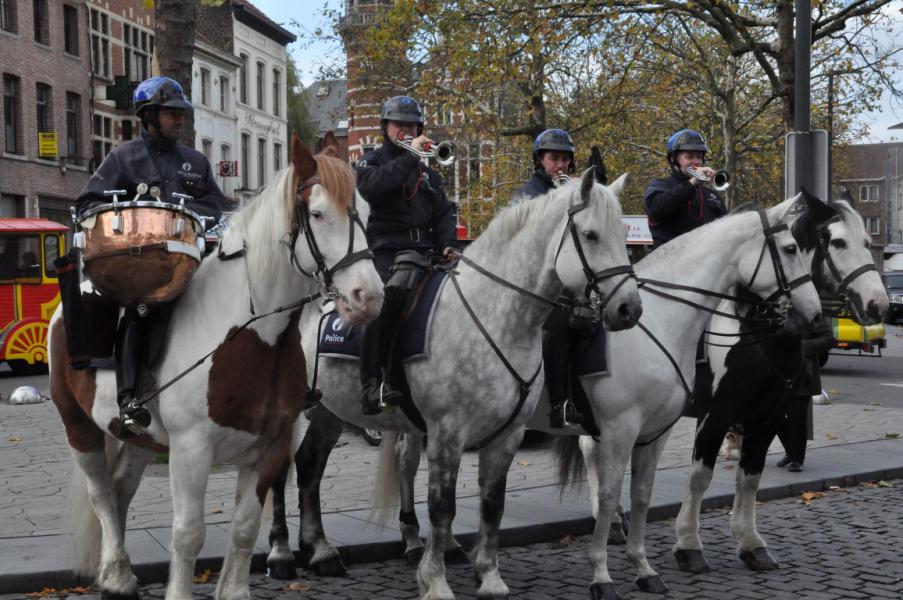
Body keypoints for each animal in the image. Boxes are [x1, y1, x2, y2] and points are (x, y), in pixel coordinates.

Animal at [47, 135, 384, 600]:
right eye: (317, 213)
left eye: (367, 213)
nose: (368, 297)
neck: (248, 335)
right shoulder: (191, 450)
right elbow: (188, 534)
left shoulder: (269, 446)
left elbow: (244, 529)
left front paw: (235, 589)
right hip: (77, 425)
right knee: (101, 494)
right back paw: (115, 576)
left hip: (136, 438)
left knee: (120, 491)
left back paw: (119, 572)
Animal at [268, 166, 644, 596]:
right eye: (591, 235)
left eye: (623, 235)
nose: (629, 308)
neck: (493, 313)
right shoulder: (447, 432)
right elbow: (442, 506)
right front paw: (436, 580)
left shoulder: (506, 434)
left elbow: (492, 505)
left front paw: (490, 576)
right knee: (281, 469)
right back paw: (281, 553)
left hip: (330, 410)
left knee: (309, 464)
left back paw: (320, 551)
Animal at [672, 196, 888, 572]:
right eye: (837, 242)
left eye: (866, 241)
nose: (880, 304)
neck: (753, 329)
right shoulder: (714, 415)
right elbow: (700, 475)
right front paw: (688, 545)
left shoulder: (768, 417)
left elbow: (750, 476)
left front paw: (750, 543)